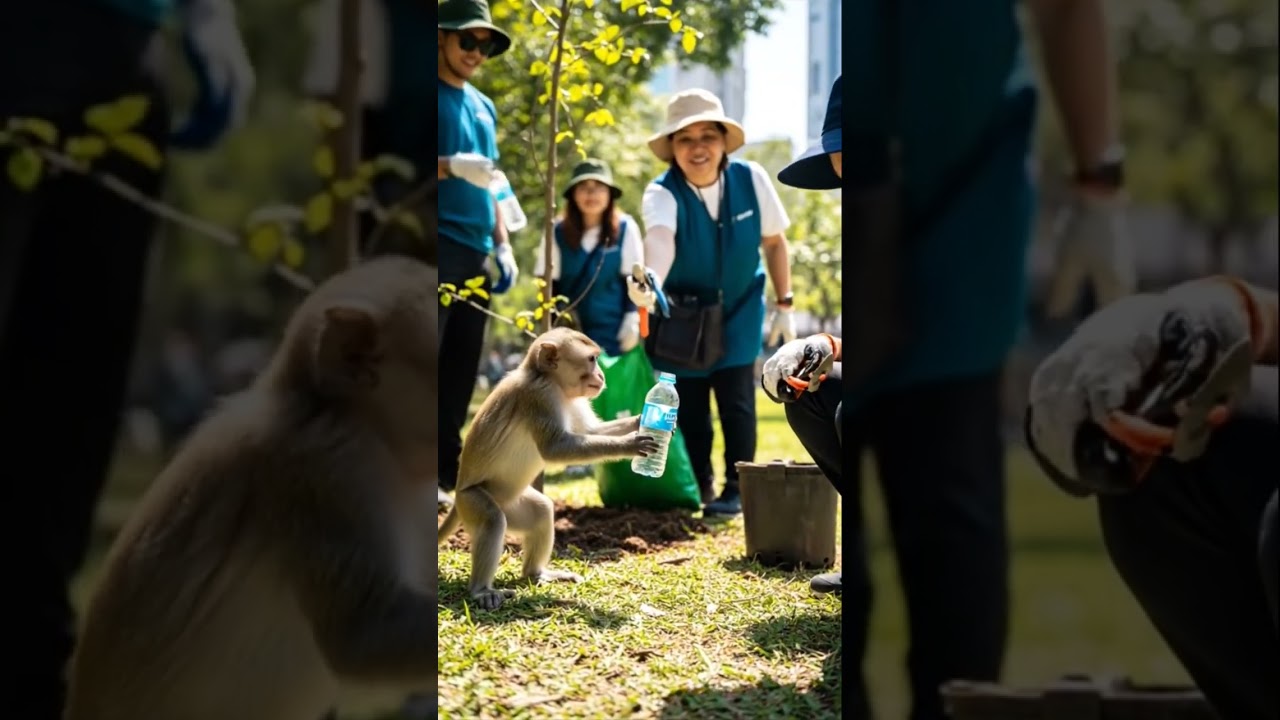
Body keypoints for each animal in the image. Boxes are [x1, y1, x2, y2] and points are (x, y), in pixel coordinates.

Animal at [437, 327, 659, 610]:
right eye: (591, 359)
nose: (601, 375)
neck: (550, 381)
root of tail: (457, 496)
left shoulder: (572, 400)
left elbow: (591, 432)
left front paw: (643, 419)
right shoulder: (540, 397)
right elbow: (555, 449)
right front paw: (629, 443)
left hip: (510, 502)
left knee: (542, 511)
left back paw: (536, 574)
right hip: (471, 500)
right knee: (492, 520)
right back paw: (481, 591)